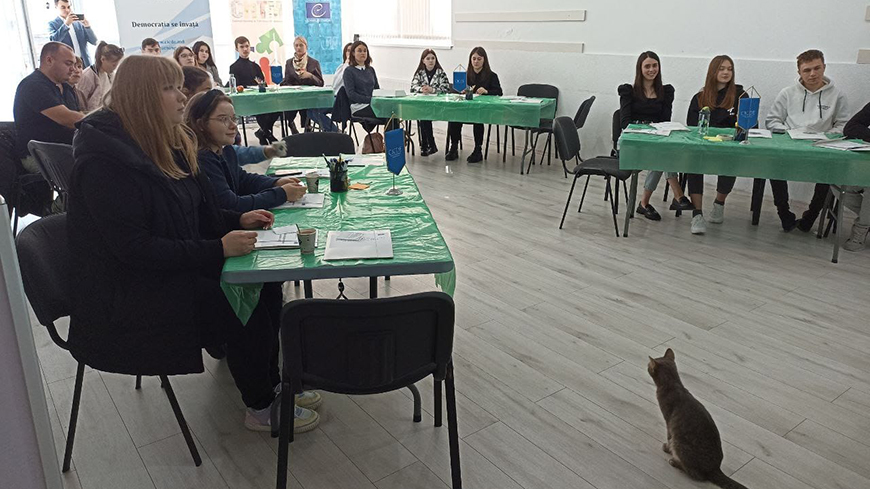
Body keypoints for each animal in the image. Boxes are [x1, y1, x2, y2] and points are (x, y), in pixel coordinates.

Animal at [648, 346, 748, 488]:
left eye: (648, 366)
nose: (646, 366)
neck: (673, 385)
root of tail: (715, 468)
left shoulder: (668, 421)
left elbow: (668, 437)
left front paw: (666, 448)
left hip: (680, 443)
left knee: (696, 475)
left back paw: (674, 462)